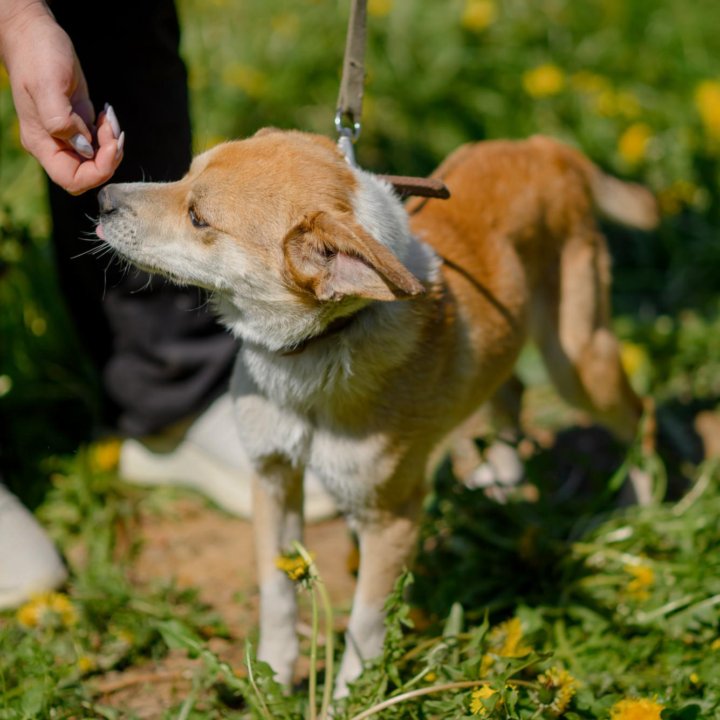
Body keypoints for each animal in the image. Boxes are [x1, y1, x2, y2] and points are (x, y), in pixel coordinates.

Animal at [95, 128, 660, 692]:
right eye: (186, 173)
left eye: (198, 218)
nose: (102, 198)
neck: (314, 355)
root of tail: (544, 146)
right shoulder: (272, 478)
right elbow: (276, 595)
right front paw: (273, 681)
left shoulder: (391, 518)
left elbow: (367, 622)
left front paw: (349, 697)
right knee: (512, 389)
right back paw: (500, 478)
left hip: (578, 362)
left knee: (640, 411)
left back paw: (644, 508)